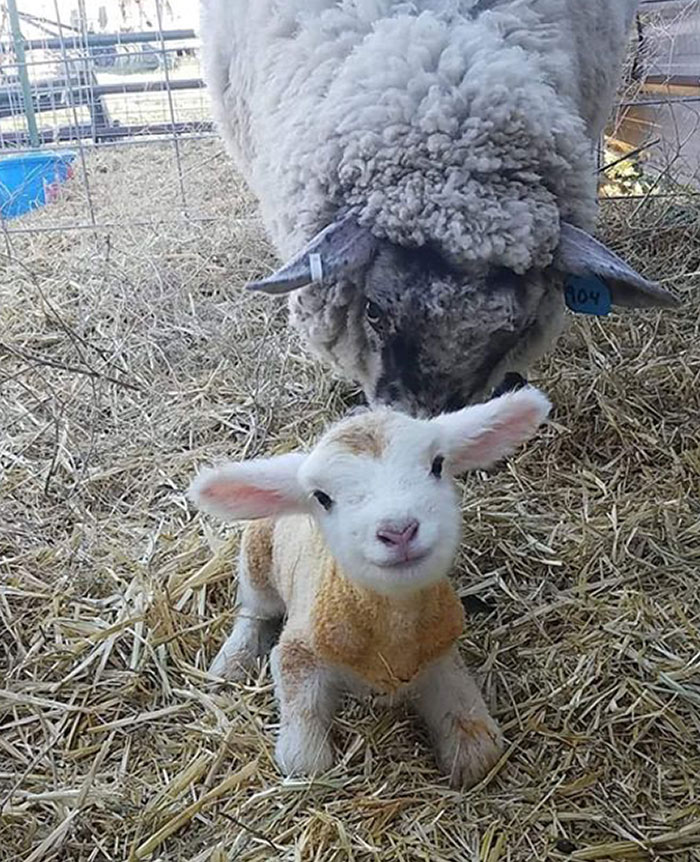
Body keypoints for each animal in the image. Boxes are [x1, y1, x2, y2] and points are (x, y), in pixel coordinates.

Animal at [189, 388, 548, 788]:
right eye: (322, 497)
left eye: (437, 464)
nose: (399, 530)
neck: (393, 631)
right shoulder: (298, 651)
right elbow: (304, 761)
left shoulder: (440, 652)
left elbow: (479, 746)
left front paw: (467, 753)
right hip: (257, 559)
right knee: (253, 611)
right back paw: (231, 662)